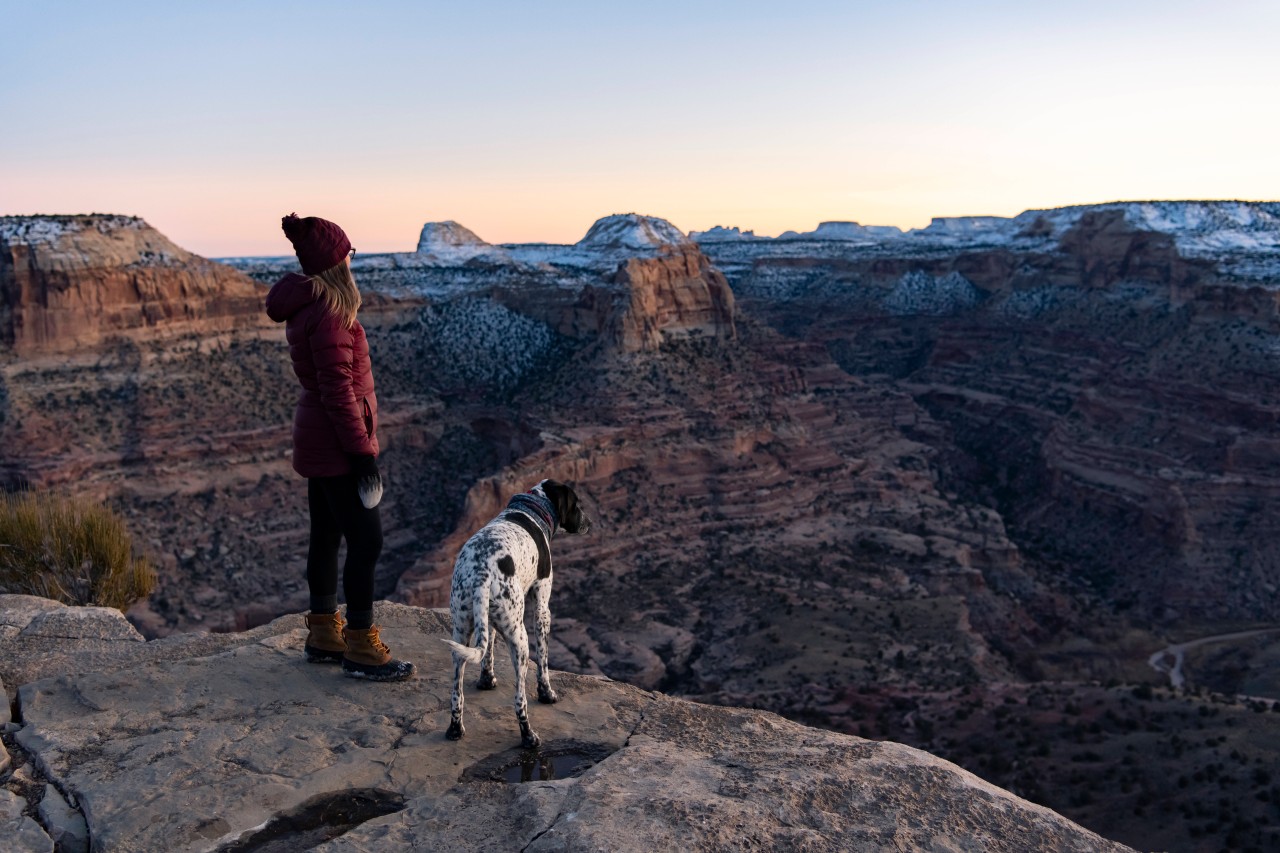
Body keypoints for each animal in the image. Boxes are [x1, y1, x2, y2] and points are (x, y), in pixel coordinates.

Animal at [445, 479, 588, 742]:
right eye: (576, 504)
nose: (588, 522)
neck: (533, 508)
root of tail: (481, 574)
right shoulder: (542, 607)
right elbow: (543, 662)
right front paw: (547, 693)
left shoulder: (487, 620)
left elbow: (488, 651)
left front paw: (487, 680)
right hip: (519, 637)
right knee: (519, 698)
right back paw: (529, 736)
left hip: (460, 630)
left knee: (456, 692)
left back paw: (455, 728)